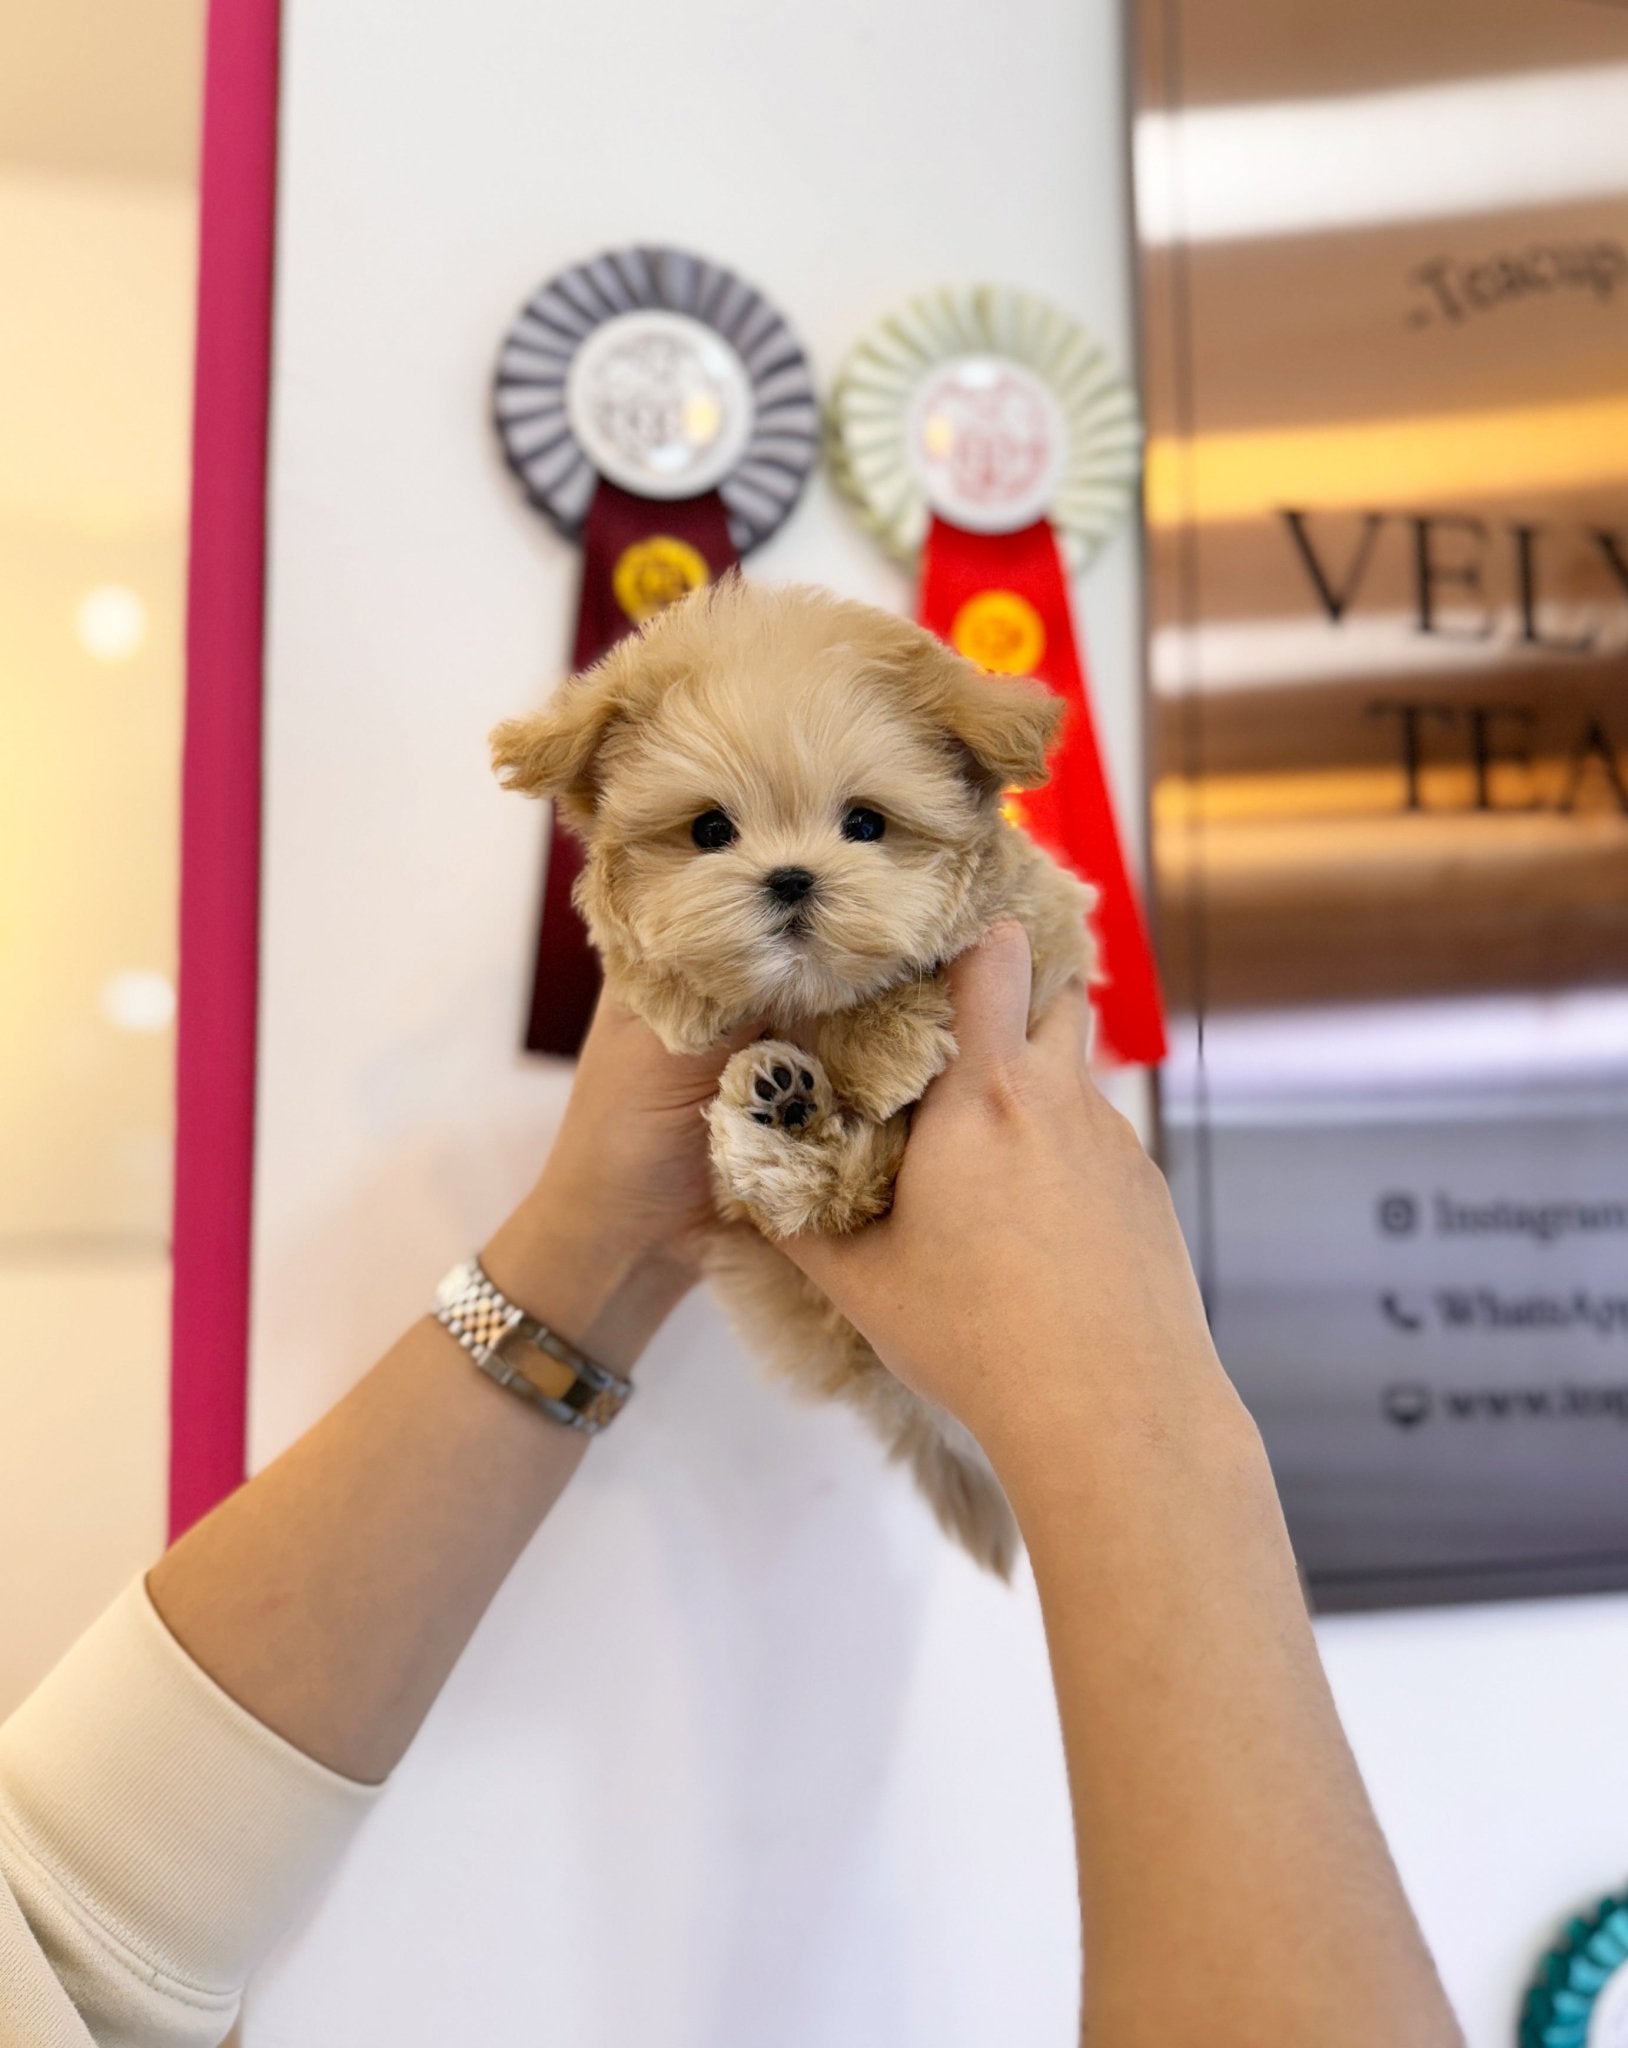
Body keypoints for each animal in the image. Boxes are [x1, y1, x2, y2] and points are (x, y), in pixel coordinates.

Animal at [493, 585, 1097, 1572]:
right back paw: (776, 1105)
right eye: (710, 830)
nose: (790, 878)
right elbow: (657, 979)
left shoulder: (1038, 938)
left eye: (866, 824)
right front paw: (695, 1000)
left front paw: (883, 1034)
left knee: (848, 1192)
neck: (803, 996)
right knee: (815, 1196)